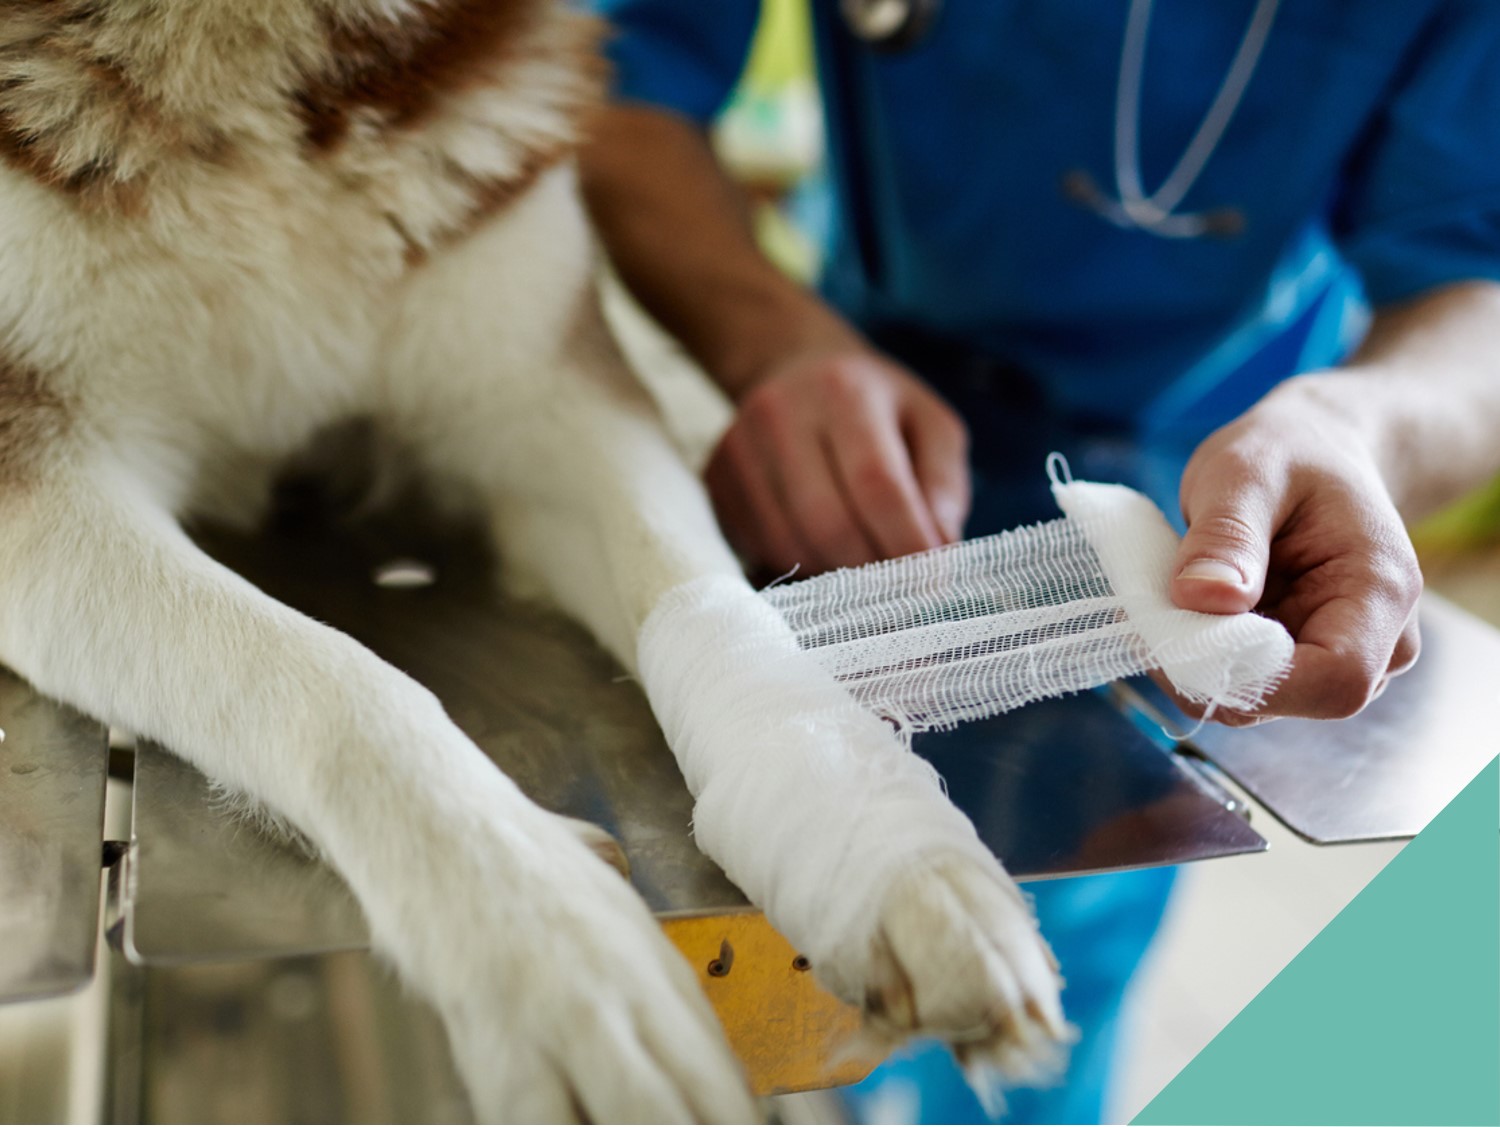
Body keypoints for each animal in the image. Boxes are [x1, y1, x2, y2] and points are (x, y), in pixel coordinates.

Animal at [0, 4, 1068, 1122]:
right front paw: (560, 951)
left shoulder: (544, 391)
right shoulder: (38, 475)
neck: (256, 60)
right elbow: (330, 681)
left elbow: (705, 597)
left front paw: (884, 851)